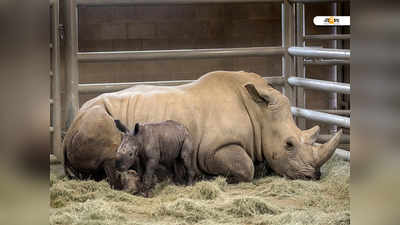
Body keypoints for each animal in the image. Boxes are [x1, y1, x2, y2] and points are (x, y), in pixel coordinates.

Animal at [62, 71, 340, 188]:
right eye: (289, 145)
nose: (314, 176)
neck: (260, 114)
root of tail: (69, 126)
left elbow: (257, 164)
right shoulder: (212, 150)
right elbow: (245, 167)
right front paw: (224, 179)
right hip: (94, 119)